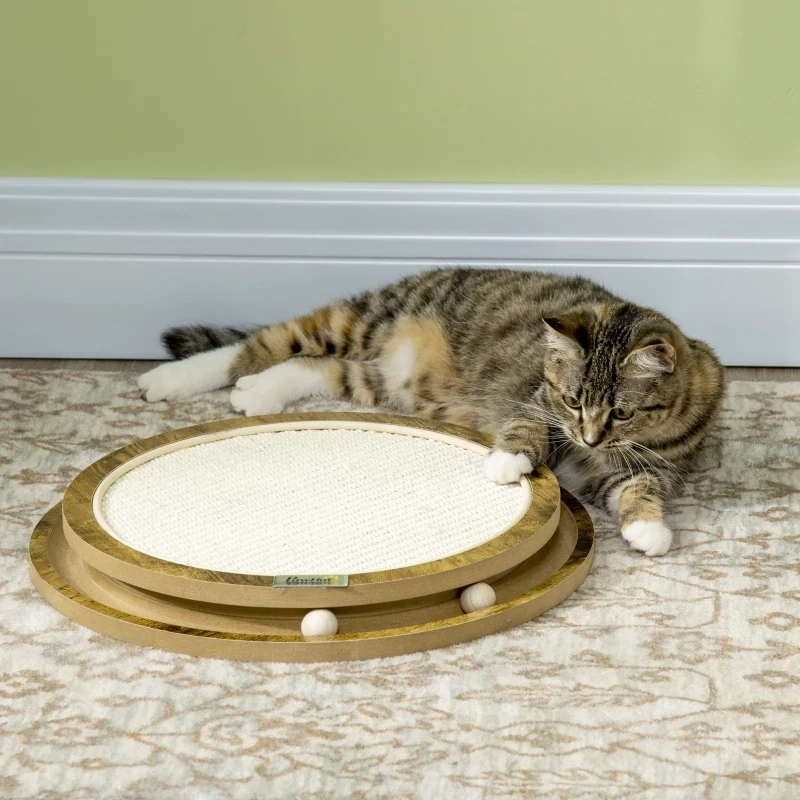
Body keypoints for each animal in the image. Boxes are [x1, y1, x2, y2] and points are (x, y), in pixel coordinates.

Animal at [138, 268, 724, 556]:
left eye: (621, 413)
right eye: (573, 399)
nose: (590, 438)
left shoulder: (647, 466)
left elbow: (637, 488)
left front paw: (648, 529)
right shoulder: (537, 402)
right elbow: (526, 426)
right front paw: (508, 462)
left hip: (378, 380)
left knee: (313, 367)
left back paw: (258, 393)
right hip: (364, 317)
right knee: (261, 345)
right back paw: (171, 379)